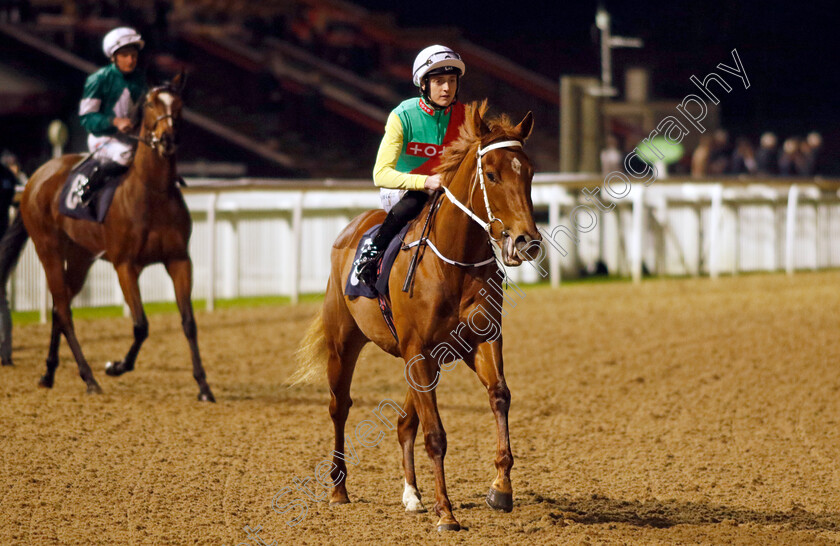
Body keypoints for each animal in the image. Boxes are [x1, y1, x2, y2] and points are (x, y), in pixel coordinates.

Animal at [10, 74, 213, 400]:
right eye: (151, 104)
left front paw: (204, 386)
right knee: (64, 311)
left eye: (179, 104)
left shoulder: (179, 260)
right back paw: (90, 378)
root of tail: (35, 177)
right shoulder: (125, 265)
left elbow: (189, 323)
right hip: (48, 249)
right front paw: (117, 366)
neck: (152, 193)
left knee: (58, 308)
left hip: (80, 257)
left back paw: (49, 373)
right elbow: (141, 325)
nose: (167, 139)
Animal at [296, 101, 540, 528]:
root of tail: (350, 229)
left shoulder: (478, 342)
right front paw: (447, 511)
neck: (455, 262)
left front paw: (501, 488)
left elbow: (499, 396)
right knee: (339, 407)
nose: (527, 241)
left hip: (426, 359)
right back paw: (339, 489)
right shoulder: (418, 350)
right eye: (491, 174)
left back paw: (412, 493)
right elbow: (436, 435)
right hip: (345, 344)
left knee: (403, 421)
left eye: (528, 172)